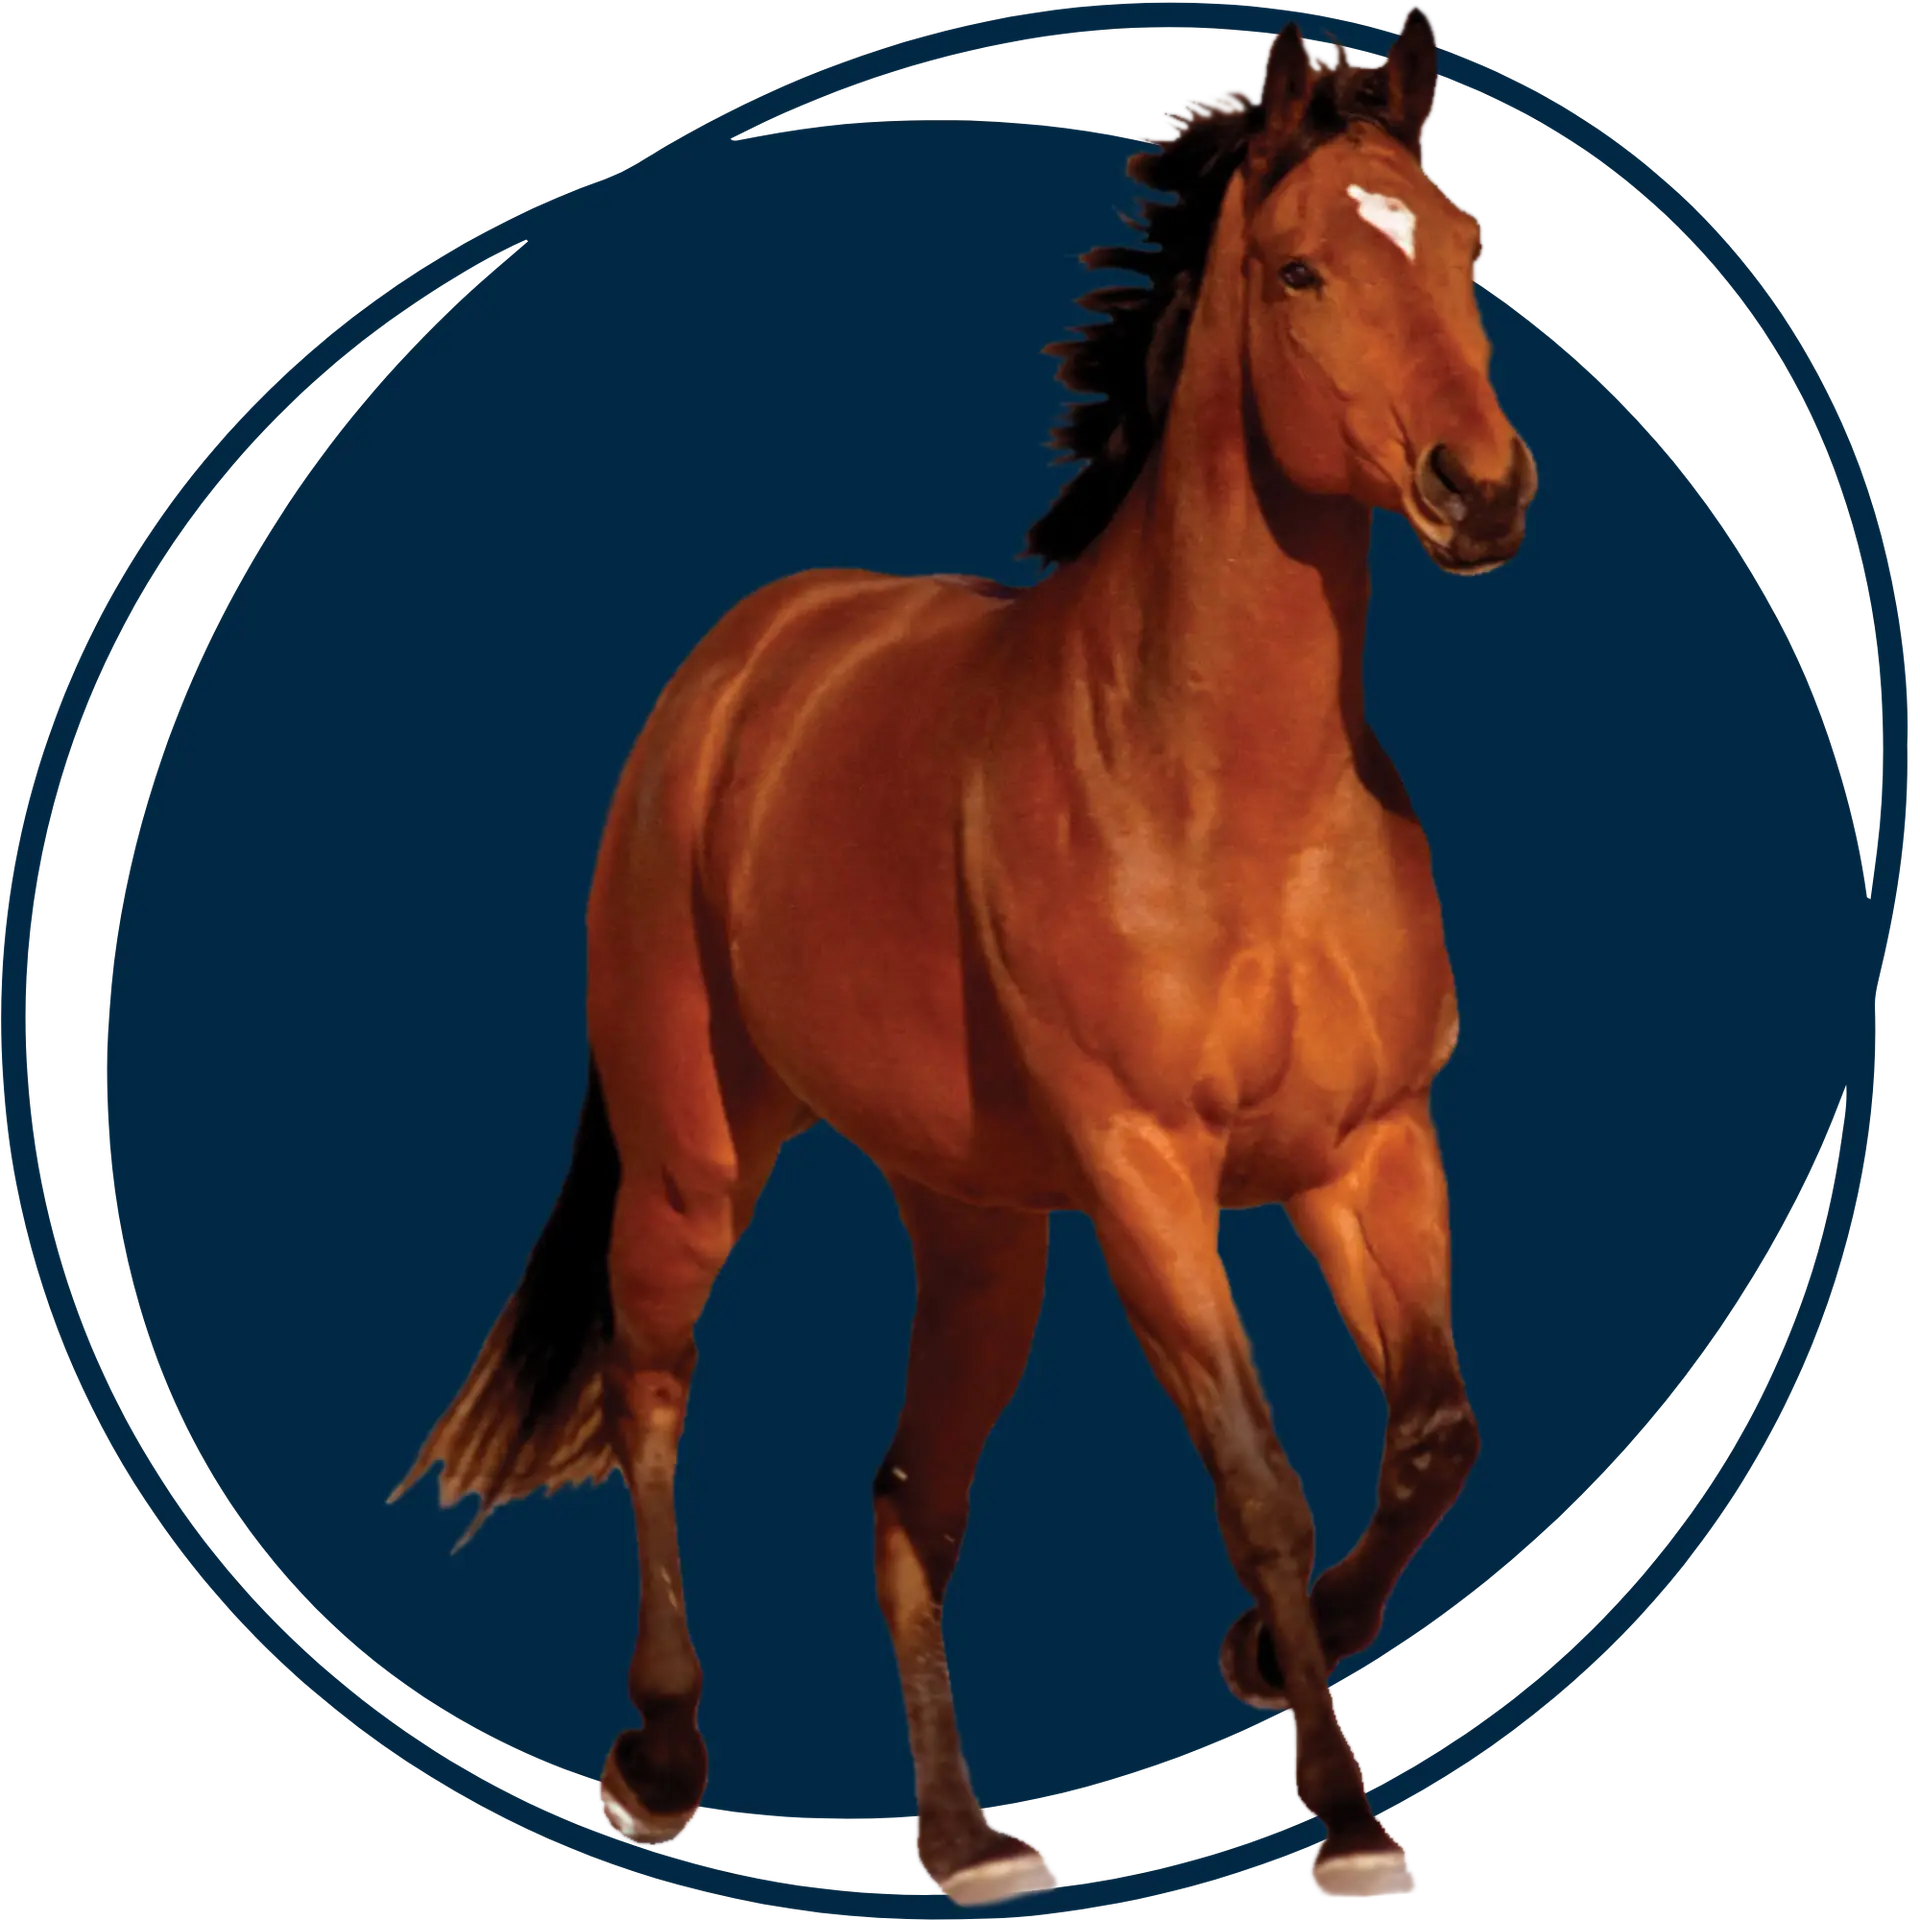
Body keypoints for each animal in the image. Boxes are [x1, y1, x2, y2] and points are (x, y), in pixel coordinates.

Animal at [391, 6, 1533, 1904]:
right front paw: (1348, 1811)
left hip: (981, 1227)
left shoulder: (1369, 1148)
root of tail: (740, 667)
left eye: (1464, 245)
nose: (1482, 492)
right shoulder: (1149, 1176)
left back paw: (963, 1834)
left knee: (908, 1498)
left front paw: (1271, 1663)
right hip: (699, 1159)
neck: (1227, 790)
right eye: (1303, 268)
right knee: (651, 1391)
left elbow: (1436, 1432)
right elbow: (1263, 1481)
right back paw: (663, 1758)